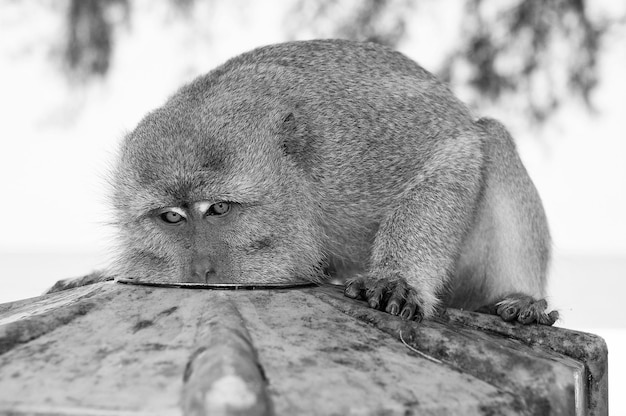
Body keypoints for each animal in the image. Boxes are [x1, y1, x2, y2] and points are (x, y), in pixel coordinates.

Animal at [107, 39, 556, 324]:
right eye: (171, 217)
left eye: (218, 208)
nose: (200, 268)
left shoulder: (354, 153)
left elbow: (453, 150)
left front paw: (396, 279)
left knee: (490, 137)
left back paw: (522, 297)